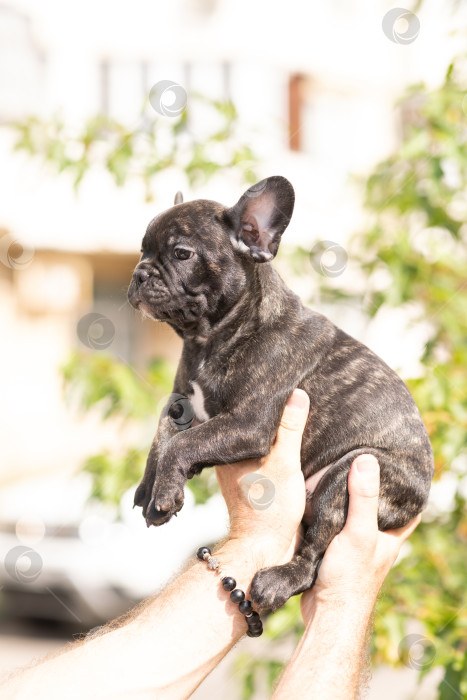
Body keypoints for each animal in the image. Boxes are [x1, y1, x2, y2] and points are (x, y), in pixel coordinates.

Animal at [128, 178, 436, 608]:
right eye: (142, 250)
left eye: (181, 254)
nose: (139, 273)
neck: (209, 338)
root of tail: (420, 497)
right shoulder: (181, 405)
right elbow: (164, 437)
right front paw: (149, 487)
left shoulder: (248, 423)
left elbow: (185, 443)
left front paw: (166, 492)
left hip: (349, 474)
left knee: (314, 557)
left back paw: (278, 581)